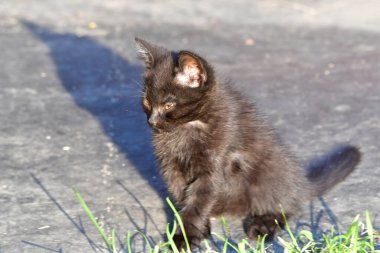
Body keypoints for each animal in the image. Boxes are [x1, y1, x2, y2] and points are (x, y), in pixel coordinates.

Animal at [135, 37, 360, 249]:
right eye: (146, 102)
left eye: (168, 105)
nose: (152, 121)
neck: (185, 128)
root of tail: (300, 183)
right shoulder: (171, 167)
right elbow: (182, 197)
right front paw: (198, 228)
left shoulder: (215, 165)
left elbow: (197, 201)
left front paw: (184, 237)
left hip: (268, 174)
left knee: (285, 206)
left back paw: (263, 226)